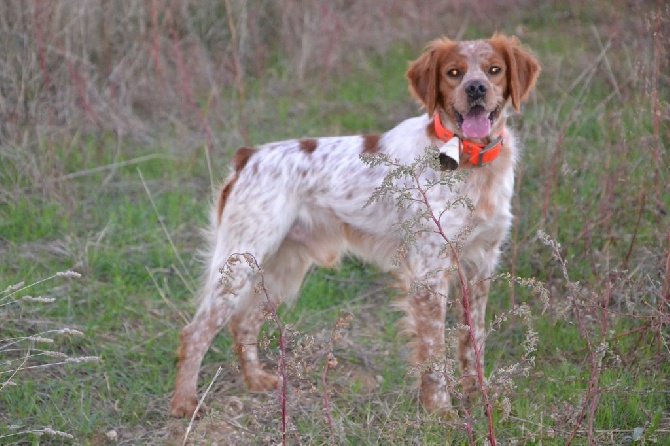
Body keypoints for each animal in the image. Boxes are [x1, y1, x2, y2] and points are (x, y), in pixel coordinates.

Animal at [169, 33, 540, 416]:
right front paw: (440, 412)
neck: (469, 161)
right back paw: (184, 403)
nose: (476, 89)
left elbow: (473, 339)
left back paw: (256, 381)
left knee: (243, 323)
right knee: (195, 332)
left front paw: (479, 399)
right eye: (454, 73)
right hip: (240, 263)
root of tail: (247, 157)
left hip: (281, 268)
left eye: (494, 70)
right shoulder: (429, 273)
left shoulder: (481, 265)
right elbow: (435, 355)